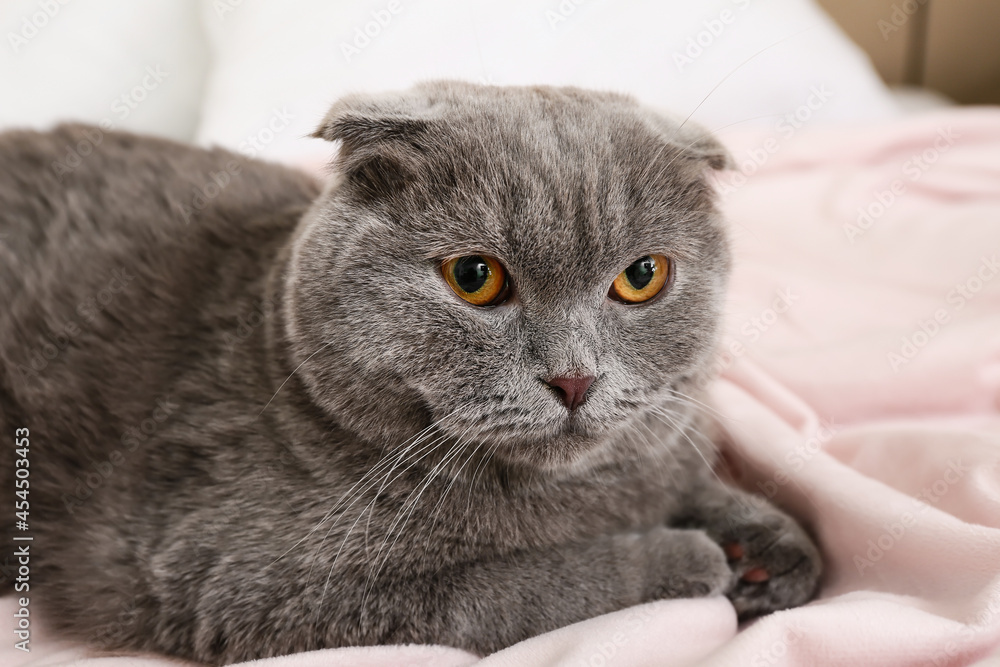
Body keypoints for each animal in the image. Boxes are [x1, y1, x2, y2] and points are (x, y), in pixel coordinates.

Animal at [0, 82, 820, 664]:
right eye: (475, 278)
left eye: (643, 276)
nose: (574, 379)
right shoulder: (247, 580)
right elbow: (523, 588)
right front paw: (691, 557)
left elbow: (686, 479)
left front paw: (770, 547)